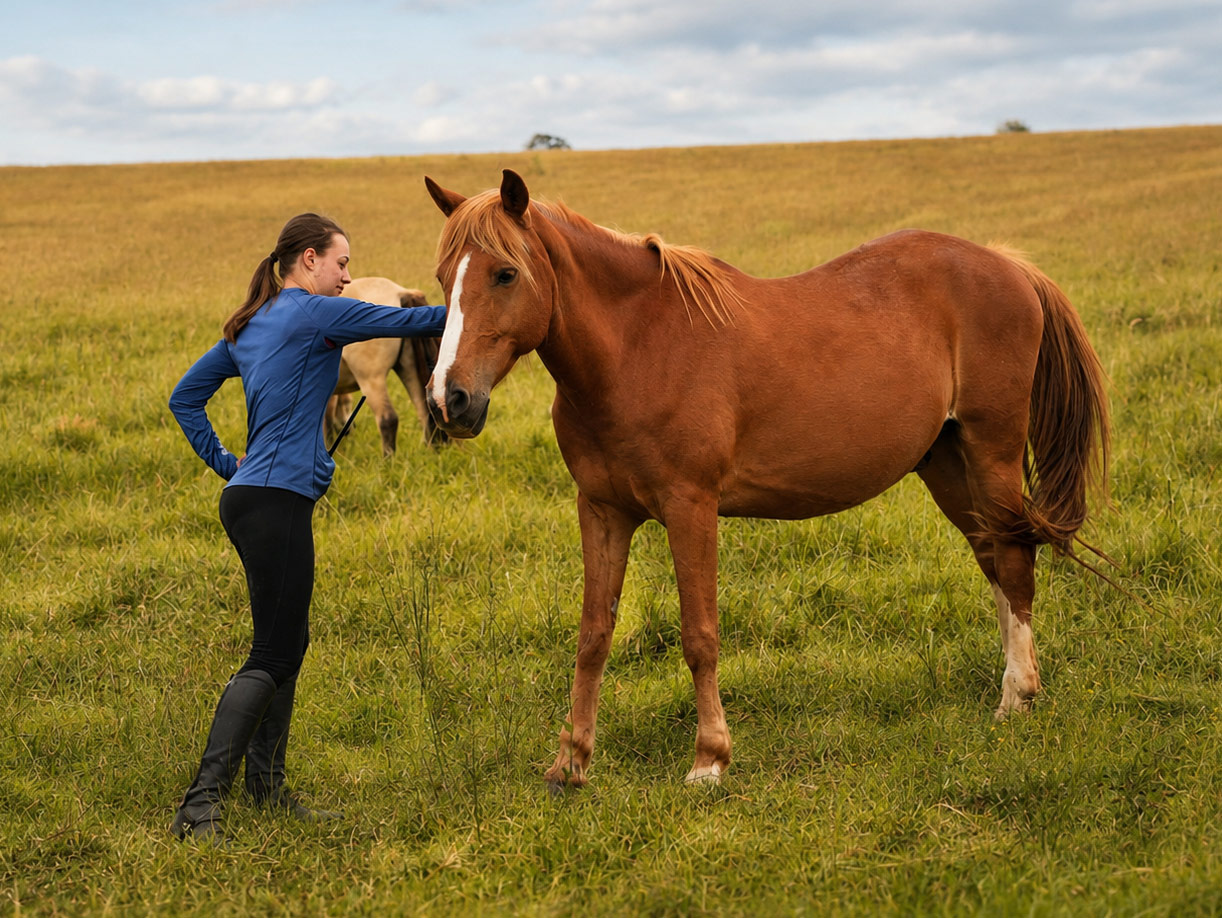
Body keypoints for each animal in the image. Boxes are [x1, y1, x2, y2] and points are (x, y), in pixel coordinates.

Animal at [422, 169, 1110, 790]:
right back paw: (1017, 686)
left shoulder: (690, 508)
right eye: (442, 279)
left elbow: (699, 636)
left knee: (1014, 560)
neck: (638, 349)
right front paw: (572, 763)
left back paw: (1017, 698)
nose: (449, 400)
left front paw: (709, 760)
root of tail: (1007, 265)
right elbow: (593, 635)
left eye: (505, 273)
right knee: (994, 558)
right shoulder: (601, 510)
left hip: (991, 454)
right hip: (946, 464)